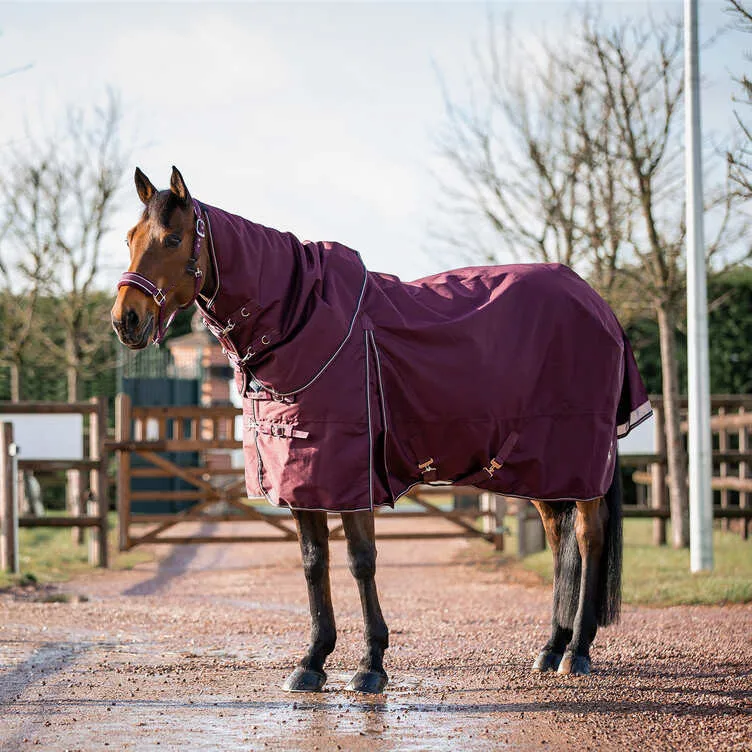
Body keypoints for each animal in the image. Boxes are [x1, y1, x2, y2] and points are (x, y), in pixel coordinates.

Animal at [111, 166, 651, 693]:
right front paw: (312, 660)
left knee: (588, 537)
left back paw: (577, 652)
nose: (125, 320)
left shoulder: (351, 477)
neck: (305, 319)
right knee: (560, 541)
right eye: (130, 237)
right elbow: (313, 562)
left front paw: (370, 663)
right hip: (541, 467)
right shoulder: (305, 480)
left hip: (577, 460)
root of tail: (598, 304)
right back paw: (551, 648)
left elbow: (360, 560)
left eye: (172, 238)